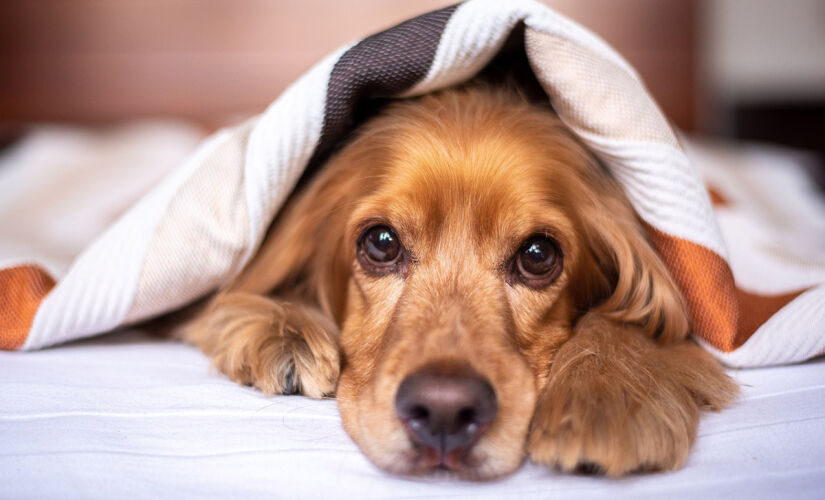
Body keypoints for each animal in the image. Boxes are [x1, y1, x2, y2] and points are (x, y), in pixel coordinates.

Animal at [183, 86, 736, 480]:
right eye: (381, 243)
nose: (444, 411)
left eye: (538, 256)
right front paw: (284, 331)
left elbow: (635, 321)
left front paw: (605, 396)